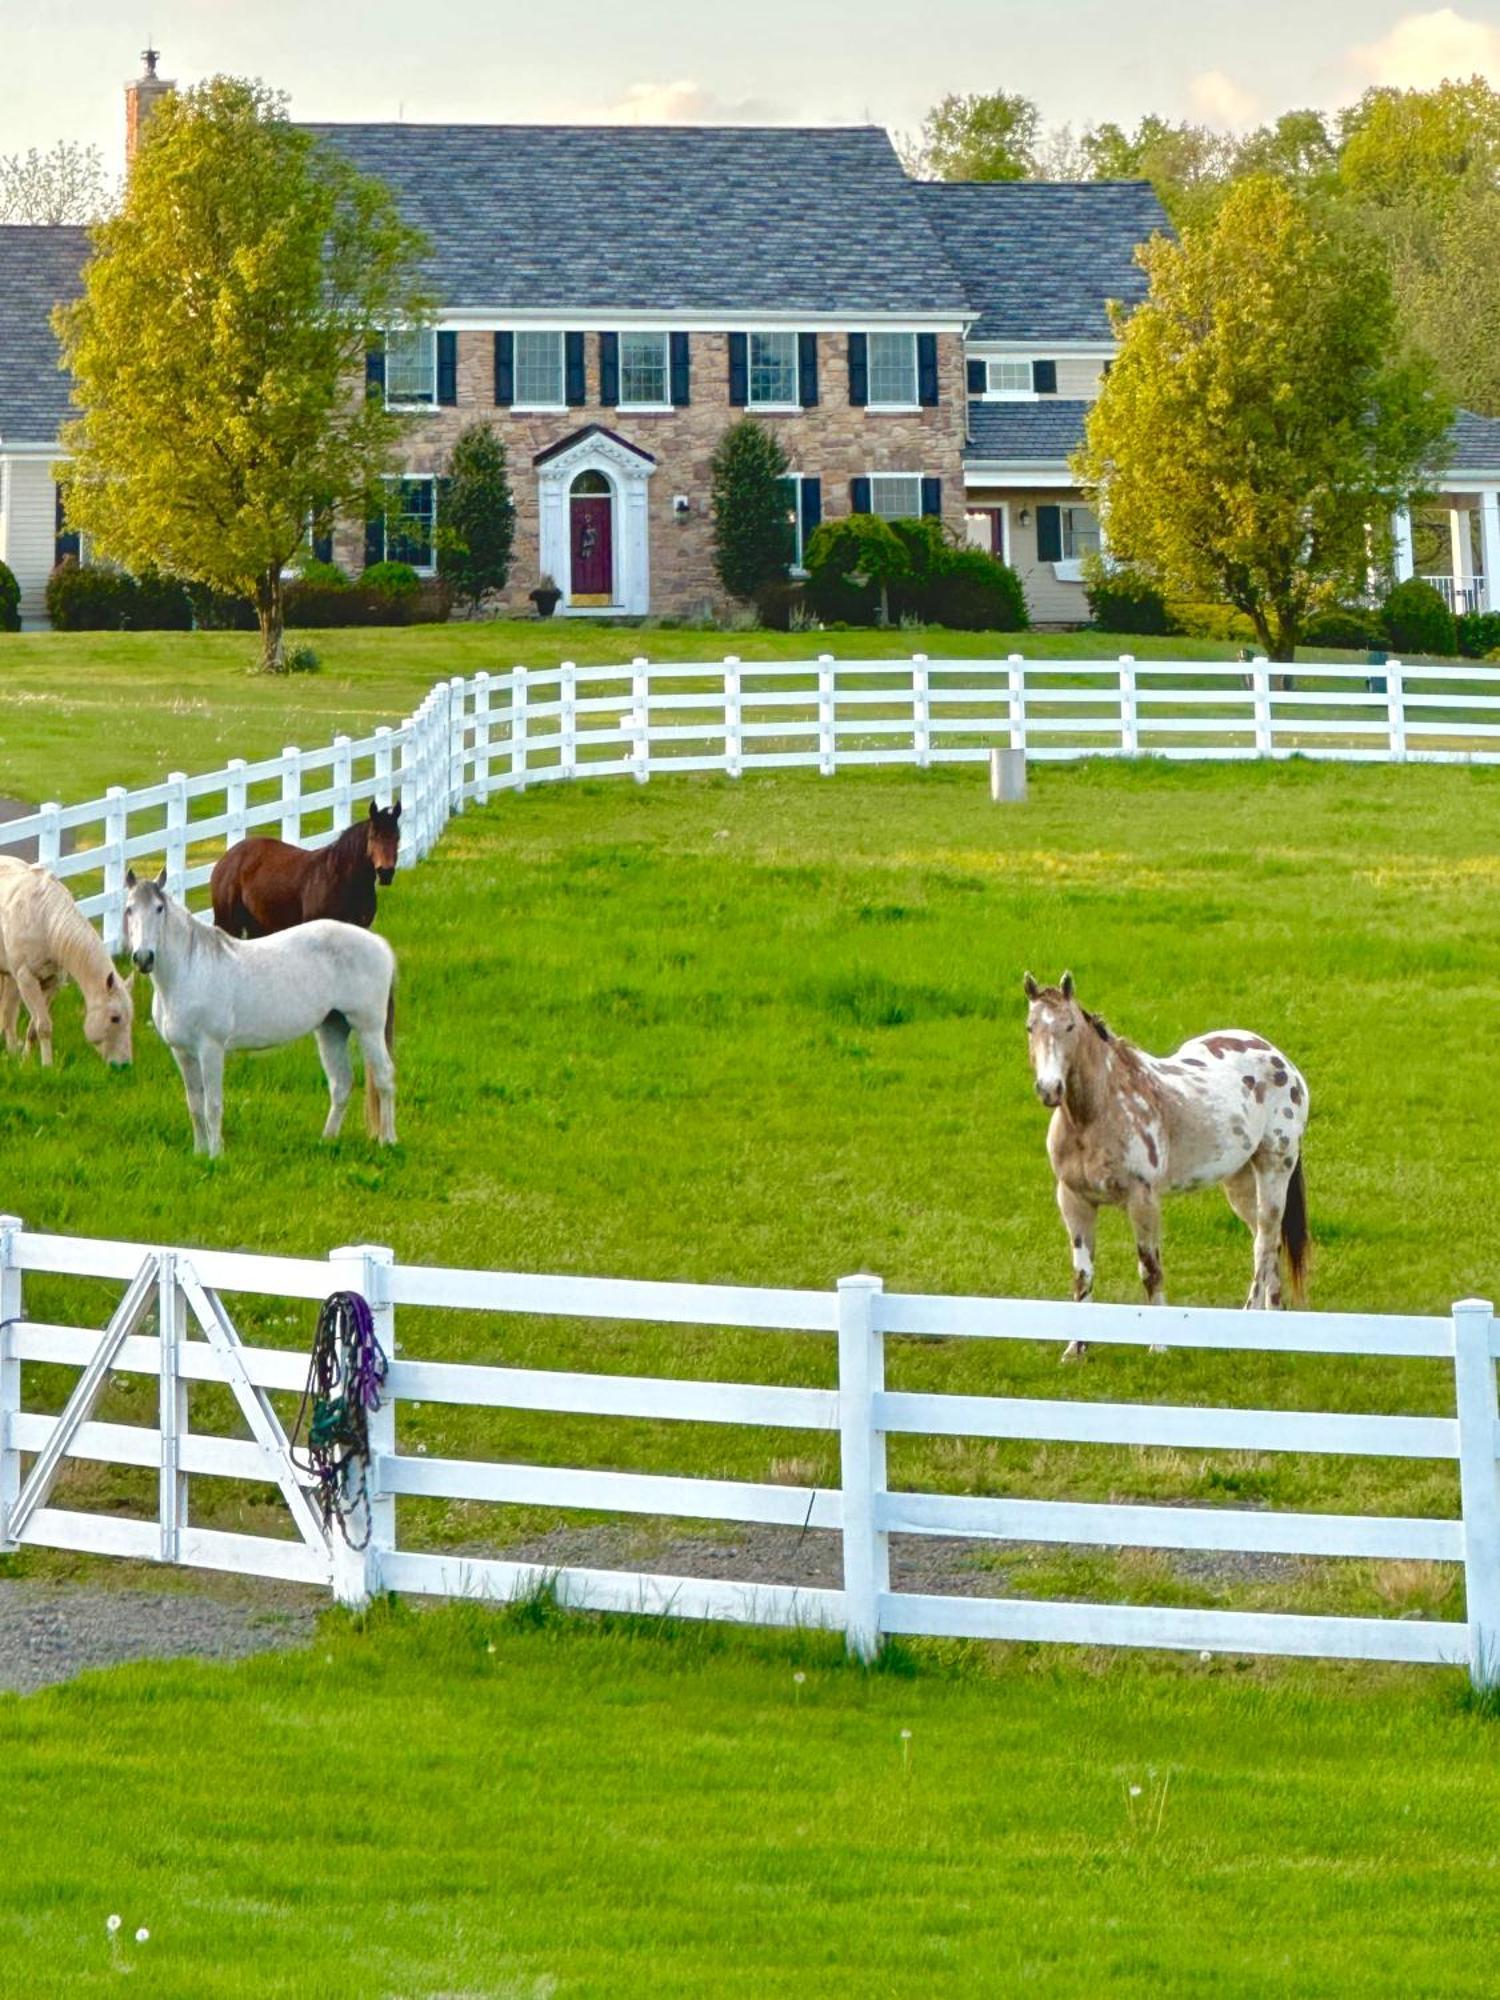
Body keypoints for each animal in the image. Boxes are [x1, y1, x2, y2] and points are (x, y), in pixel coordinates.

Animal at [0, 864, 135, 1080]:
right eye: (115, 1018)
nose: (123, 1066)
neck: (43, 918)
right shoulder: (25, 979)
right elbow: (43, 1026)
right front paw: (47, 1066)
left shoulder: (52, 982)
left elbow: (34, 1027)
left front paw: (25, 1061)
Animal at [126, 864, 400, 1160]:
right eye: (129, 909)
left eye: (159, 908)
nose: (143, 958)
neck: (188, 970)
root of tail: (378, 943)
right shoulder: (182, 1053)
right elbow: (195, 1105)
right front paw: (199, 1153)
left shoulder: (210, 1049)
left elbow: (213, 1105)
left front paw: (216, 1156)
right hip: (332, 1028)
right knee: (341, 1083)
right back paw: (327, 1141)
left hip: (369, 1028)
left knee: (384, 1077)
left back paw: (388, 1140)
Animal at [209, 800, 406, 940]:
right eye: (373, 836)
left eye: (397, 837)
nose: (386, 873)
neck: (342, 879)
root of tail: (227, 858)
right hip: (228, 922)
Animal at [1032, 972, 1312, 1360]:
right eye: (1030, 1027)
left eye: (1069, 1026)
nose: (1049, 1089)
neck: (1098, 1113)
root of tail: (1278, 1058)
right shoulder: (1074, 1199)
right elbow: (1083, 1273)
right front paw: (1076, 1350)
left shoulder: (1143, 1199)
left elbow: (1150, 1269)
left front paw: (1158, 1345)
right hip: (1240, 1180)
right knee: (1267, 1242)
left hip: (1275, 1166)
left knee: (1265, 1242)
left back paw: (1250, 1317)